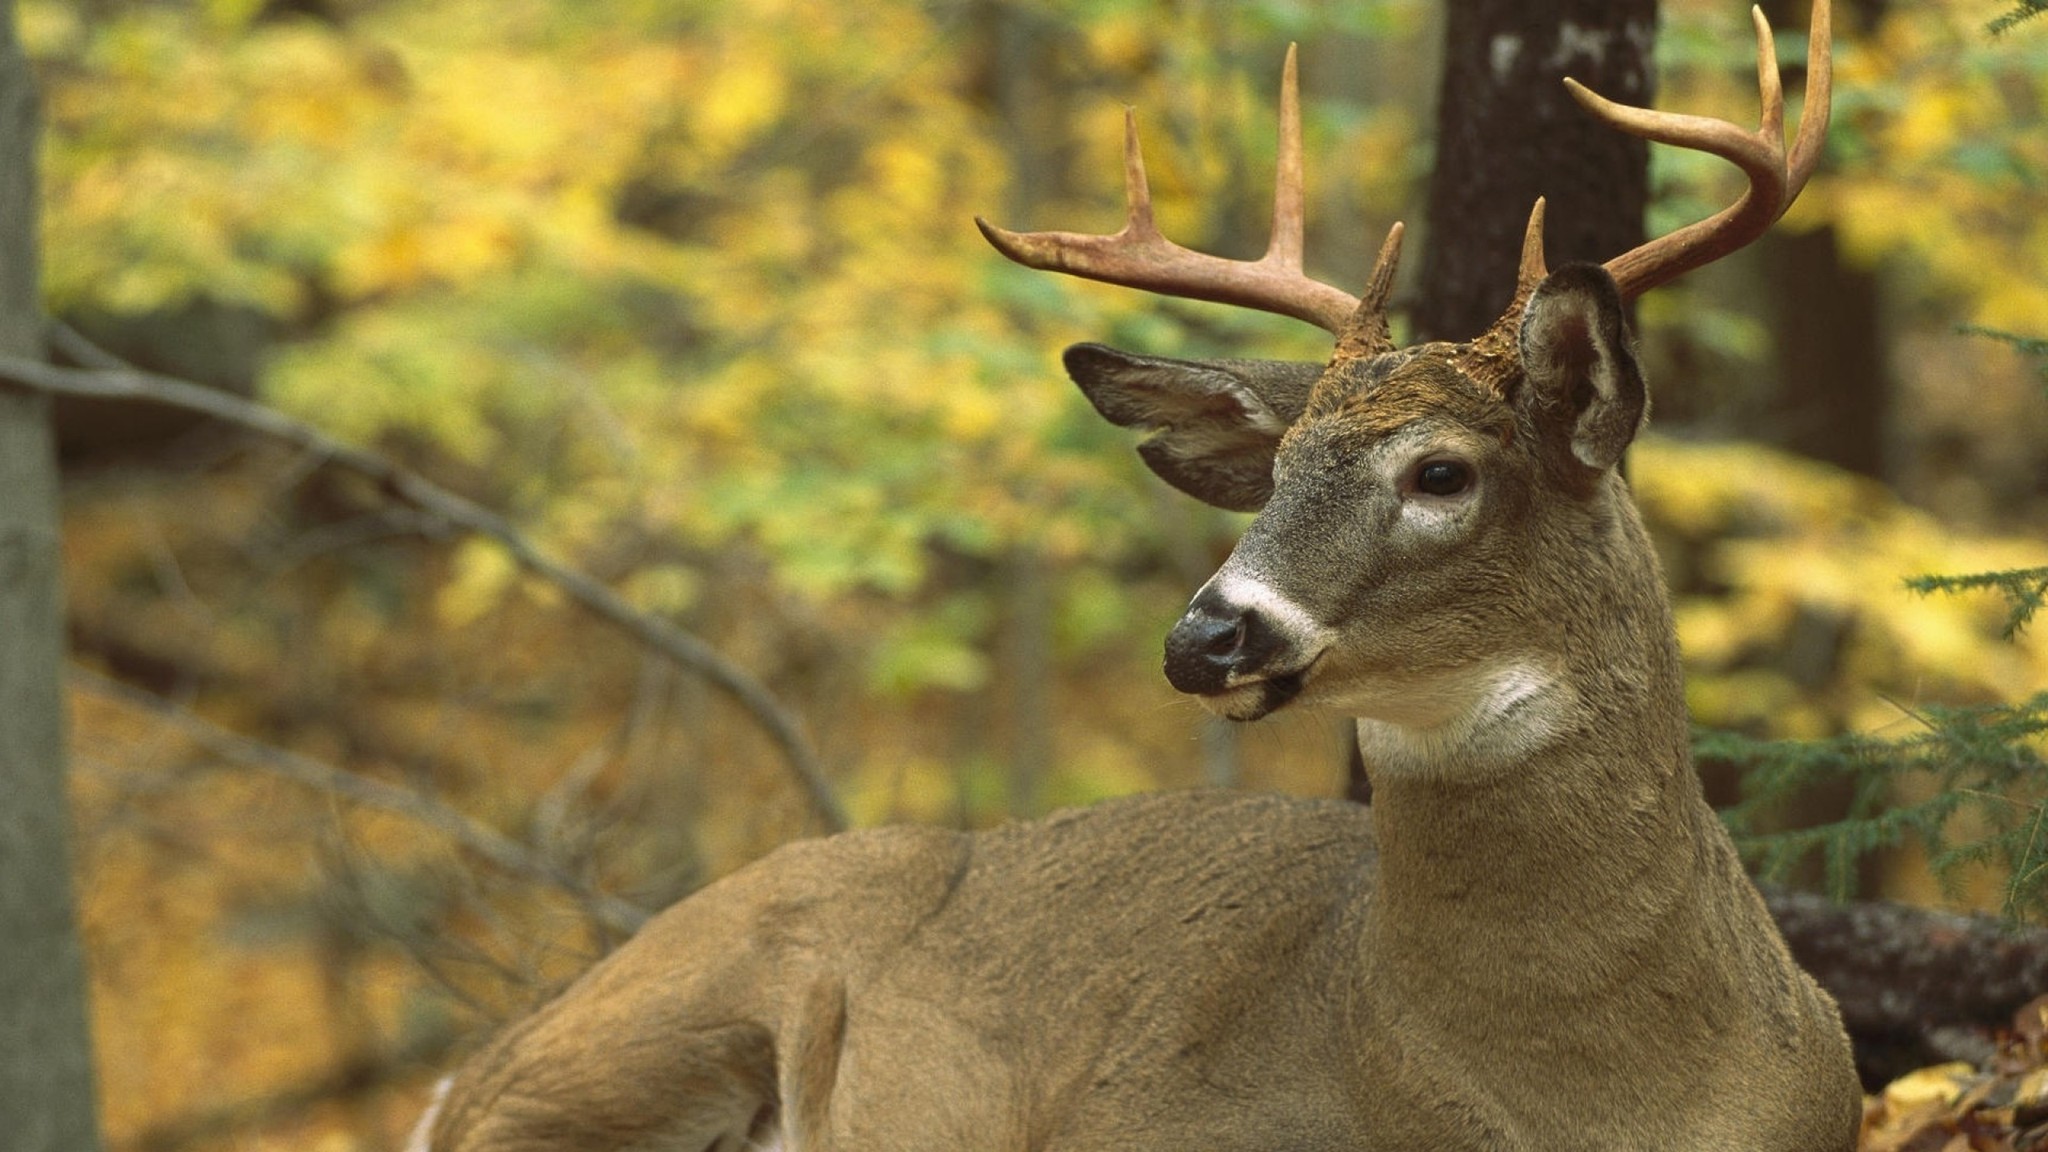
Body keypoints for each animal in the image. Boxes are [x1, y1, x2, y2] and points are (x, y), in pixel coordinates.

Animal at [411, 4, 1859, 1139]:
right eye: (1276, 473)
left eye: (1441, 473)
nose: (1203, 638)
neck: (1597, 1093)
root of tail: (463, 1075)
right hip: (637, 1031)